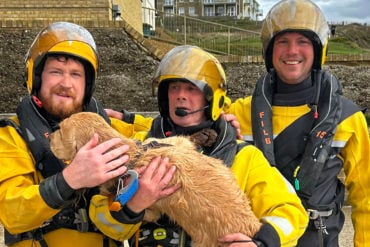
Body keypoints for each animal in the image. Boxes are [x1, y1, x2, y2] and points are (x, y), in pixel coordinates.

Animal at [49, 112, 260, 247]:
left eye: (61, 131)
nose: (50, 135)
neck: (132, 155)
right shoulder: (168, 143)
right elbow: (182, 139)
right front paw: (204, 135)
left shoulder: (153, 206)